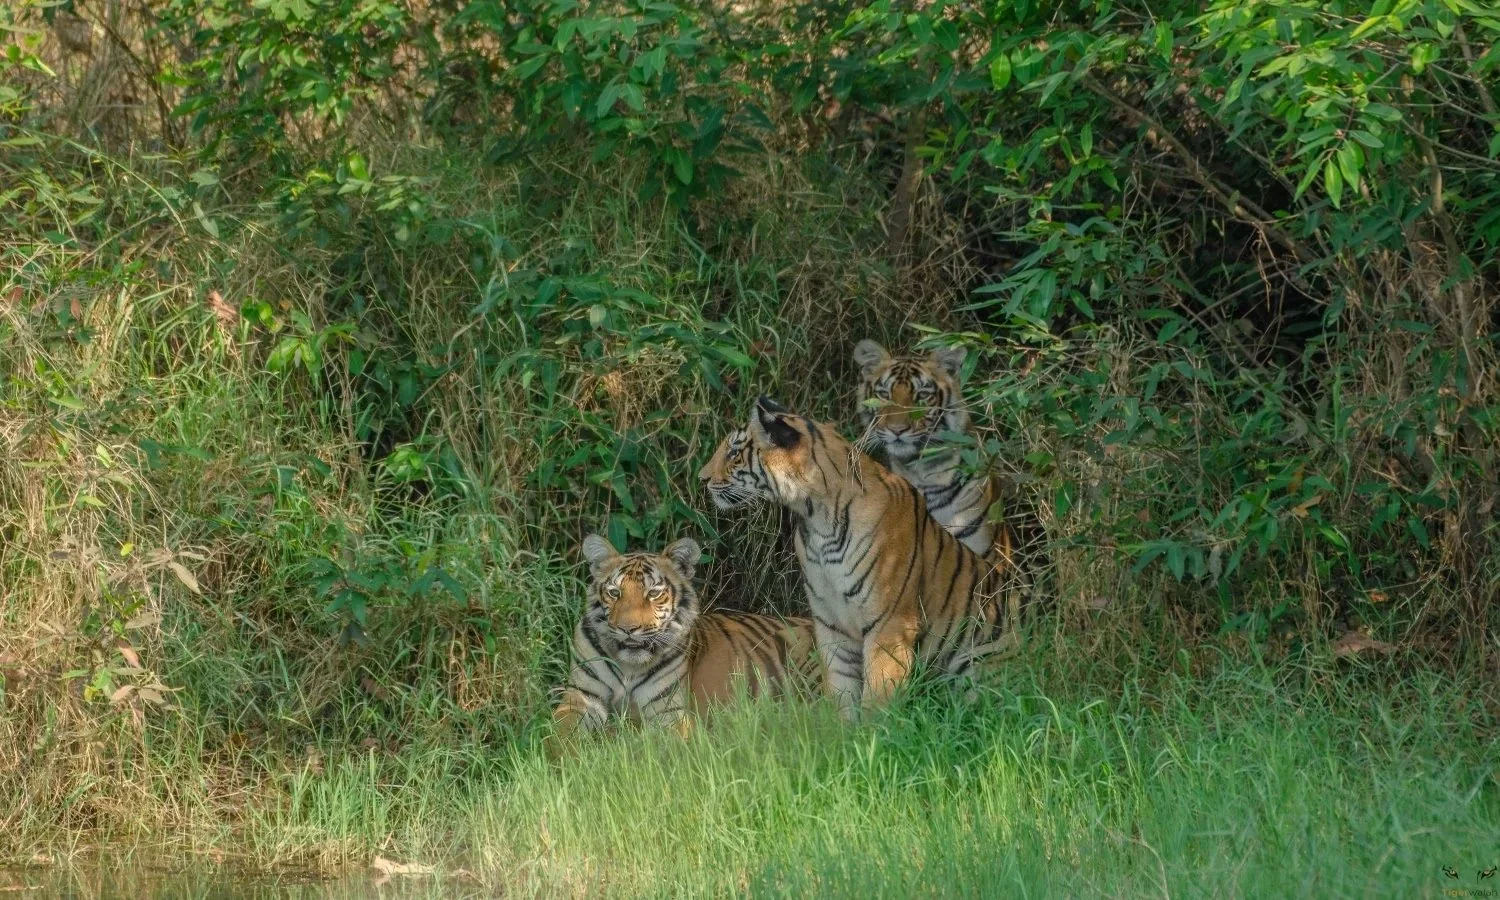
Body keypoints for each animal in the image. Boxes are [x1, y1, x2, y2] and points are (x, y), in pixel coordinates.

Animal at [551, 533, 817, 738]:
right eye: (614, 593)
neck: (630, 667)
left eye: (653, 593)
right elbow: (559, 735)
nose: (628, 629)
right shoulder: (580, 697)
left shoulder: (669, 713)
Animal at [708, 396, 1026, 717]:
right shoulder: (832, 623)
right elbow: (842, 692)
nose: (703, 478)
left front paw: (877, 729)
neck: (815, 519)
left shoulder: (890, 625)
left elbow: (877, 697)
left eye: (734, 453)